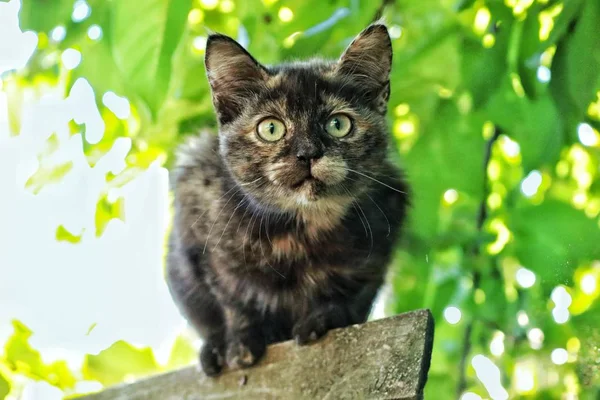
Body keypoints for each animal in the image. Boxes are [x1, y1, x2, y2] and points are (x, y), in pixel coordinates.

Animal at [164, 23, 410, 376]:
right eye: (271, 128)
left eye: (338, 124)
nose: (308, 153)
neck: (299, 233)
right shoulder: (196, 212)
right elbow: (230, 297)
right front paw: (240, 342)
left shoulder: (386, 214)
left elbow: (354, 288)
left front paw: (324, 317)